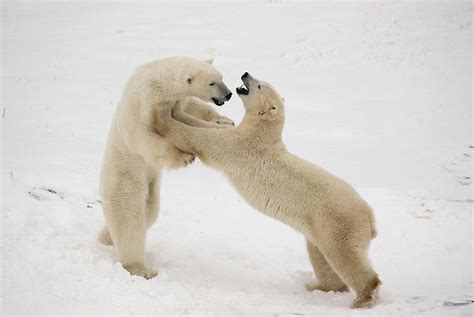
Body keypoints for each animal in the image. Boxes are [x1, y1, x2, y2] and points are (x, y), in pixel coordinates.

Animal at [98, 56, 233, 276]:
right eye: (212, 83)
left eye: (221, 77)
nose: (228, 94)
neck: (159, 81)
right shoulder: (143, 103)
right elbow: (143, 137)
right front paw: (184, 158)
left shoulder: (175, 101)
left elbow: (191, 109)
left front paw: (223, 121)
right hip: (125, 179)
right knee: (129, 220)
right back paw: (141, 269)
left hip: (150, 183)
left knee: (149, 212)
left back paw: (106, 237)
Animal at [156, 73, 382, 308]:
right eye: (257, 79)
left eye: (260, 85)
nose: (245, 74)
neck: (262, 135)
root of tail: (370, 217)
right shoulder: (239, 136)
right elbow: (209, 128)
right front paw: (177, 110)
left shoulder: (237, 146)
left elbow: (200, 138)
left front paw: (164, 117)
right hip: (318, 228)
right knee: (321, 257)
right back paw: (317, 286)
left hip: (336, 223)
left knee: (345, 257)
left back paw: (363, 297)